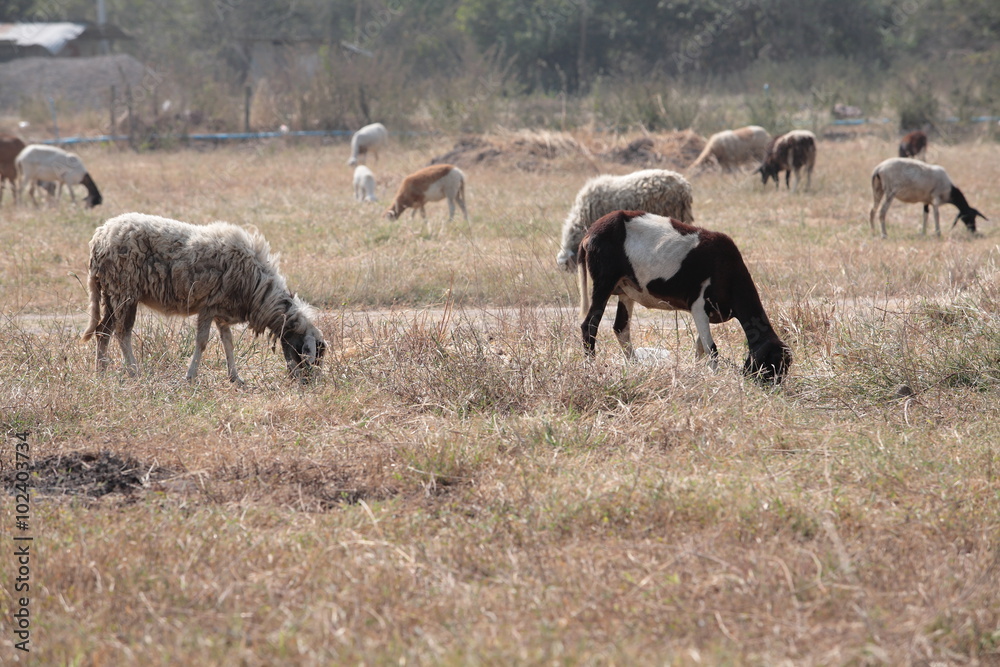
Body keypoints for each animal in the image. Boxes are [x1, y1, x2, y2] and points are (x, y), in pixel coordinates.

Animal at [82, 213, 325, 383]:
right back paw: (134, 372)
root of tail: (98, 238)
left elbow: (228, 343)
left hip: (111, 293)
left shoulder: (221, 310)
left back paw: (100, 372)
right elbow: (202, 342)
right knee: (122, 333)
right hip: (124, 291)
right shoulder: (208, 307)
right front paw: (190, 376)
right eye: (312, 356)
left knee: (103, 331)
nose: (307, 384)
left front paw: (235, 378)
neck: (259, 291)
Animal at [577, 210, 791, 384]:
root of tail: (588, 235)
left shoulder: (707, 315)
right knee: (590, 325)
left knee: (621, 328)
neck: (729, 273)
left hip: (625, 290)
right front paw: (714, 379)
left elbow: (701, 347)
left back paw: (634, 366)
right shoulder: (698, 305)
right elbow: (712, 349)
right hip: (604, 283)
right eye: (772, 365)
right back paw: (591, 368)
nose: (774, 389)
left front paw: (698, 374)